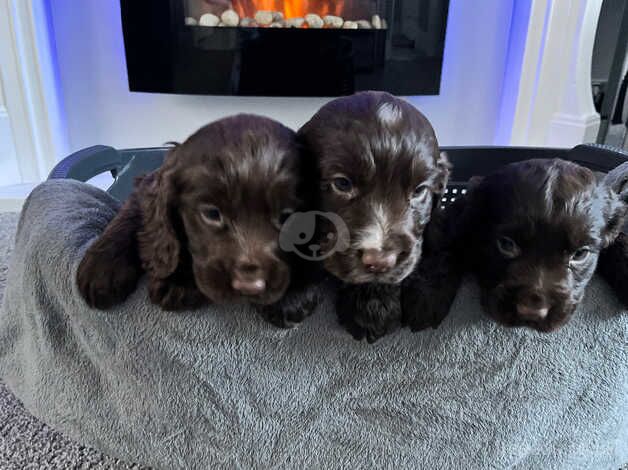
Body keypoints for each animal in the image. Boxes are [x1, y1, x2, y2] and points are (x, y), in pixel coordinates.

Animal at [76, 114, 316, 326]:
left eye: (286, 216)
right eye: (211, 214)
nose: (249, 286)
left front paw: (292, 294)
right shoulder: (149, 184)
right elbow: (136, 215)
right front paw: (103, 268)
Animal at [402, 159, 628, 334]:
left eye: (580, 254)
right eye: (506, 244)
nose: (532, 312)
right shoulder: (458, 221)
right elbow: (446, 248)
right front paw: (427, 299)